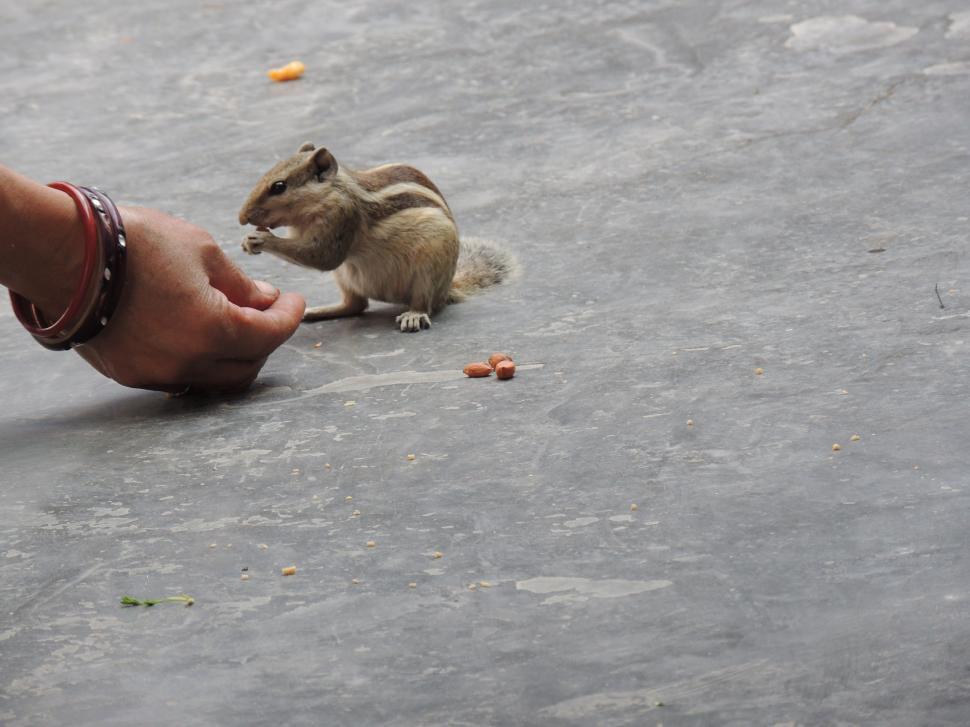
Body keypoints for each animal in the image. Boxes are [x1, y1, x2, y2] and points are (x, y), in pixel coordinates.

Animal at [238, 142, 516, 332]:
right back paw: (320, 311)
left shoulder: (342, 218)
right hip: (345, 276)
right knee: (356, 305)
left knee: (423, 302)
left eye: (279, 186)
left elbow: (322, 257)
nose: (242, 217)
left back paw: (414, 314)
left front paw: (262, 240)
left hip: (430, 266)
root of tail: (447, 288)